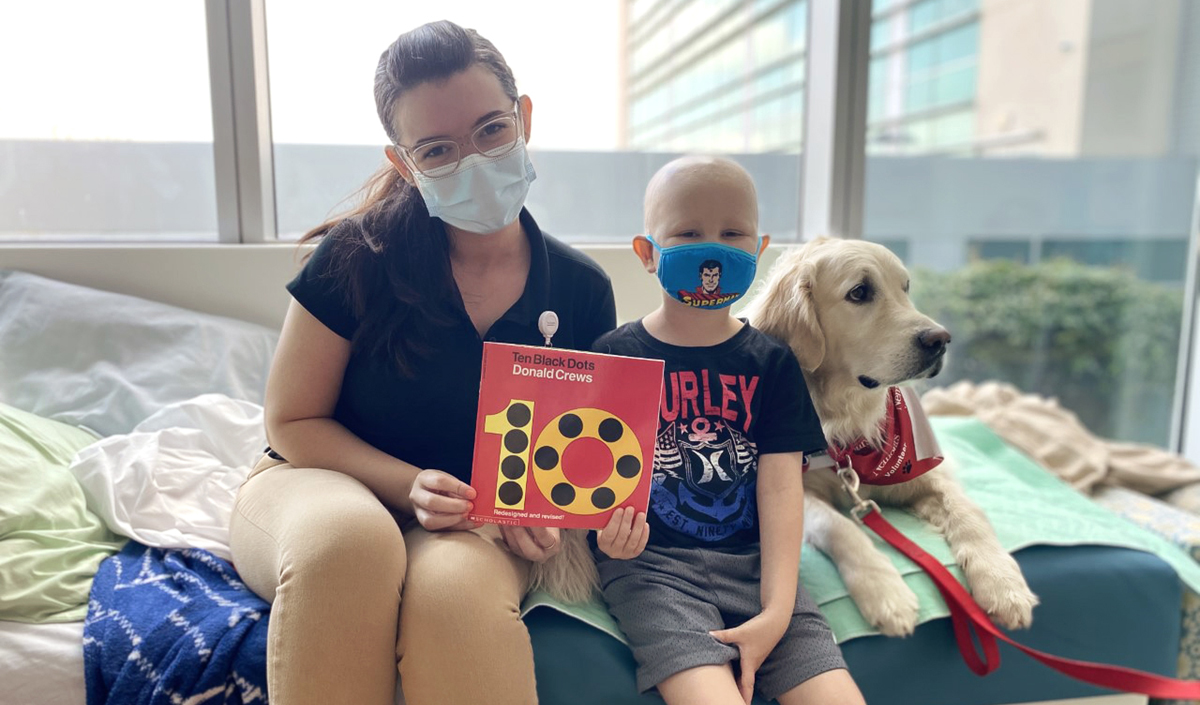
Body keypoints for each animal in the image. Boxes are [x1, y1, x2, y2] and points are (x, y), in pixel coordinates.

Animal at [739, 238, 1041, 637]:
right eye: (859, 292)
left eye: (906, 287)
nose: (941, 339)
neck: (849, 423)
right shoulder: (797, 493)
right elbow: (839, 527)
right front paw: (884, 590)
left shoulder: (923, 471)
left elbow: (969, 512)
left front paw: (1003, 582)